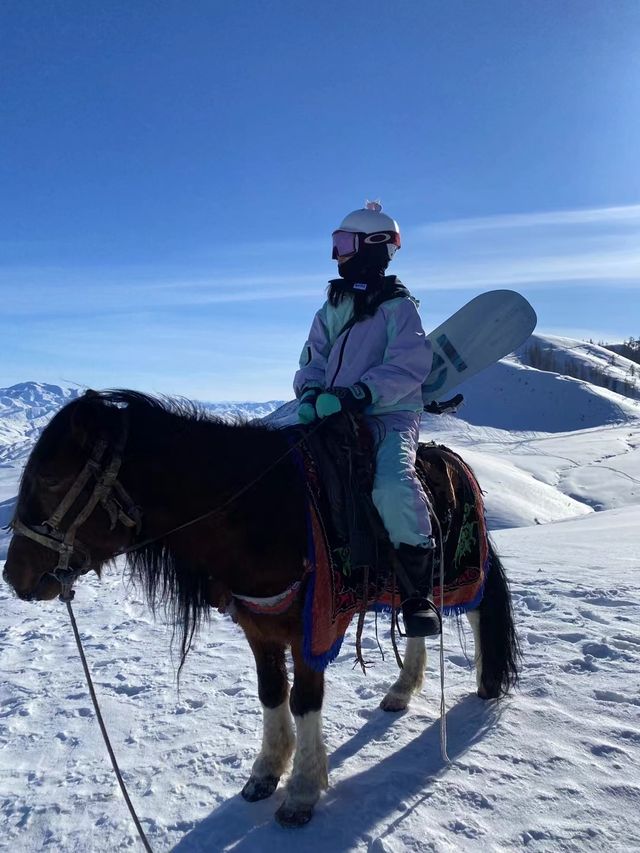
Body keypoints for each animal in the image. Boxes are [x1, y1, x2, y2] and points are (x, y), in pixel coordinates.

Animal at [2, 392, 516, 824]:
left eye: (50, 478)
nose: (14, 576)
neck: (261, 512)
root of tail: (450, 459)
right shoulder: (260, 628)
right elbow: (271, 694)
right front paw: (266, 773)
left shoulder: (314, 630)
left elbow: (305, 700)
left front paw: (302, 791)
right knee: (417, 625)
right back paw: (401, 691)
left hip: (461, 569)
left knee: (478, 606)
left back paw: (488, 683)